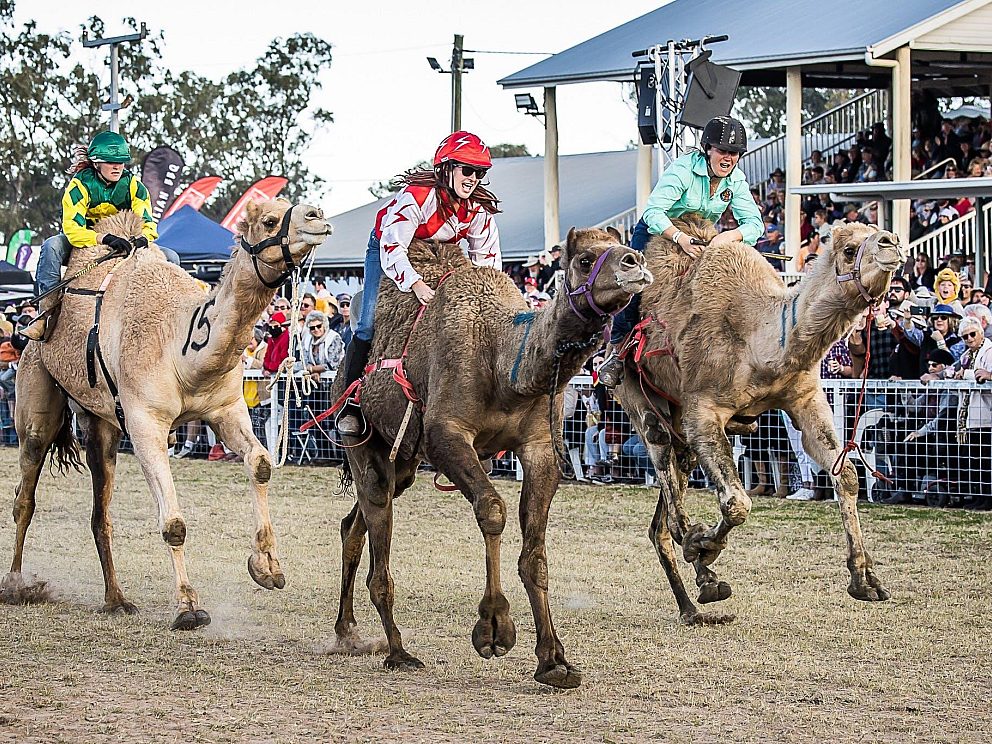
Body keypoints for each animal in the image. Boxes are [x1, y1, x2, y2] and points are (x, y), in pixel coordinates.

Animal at [2, 199, 334, 628]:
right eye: (269, 220)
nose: (317, 216)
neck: (180, 345)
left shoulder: (225, 408)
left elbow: (260, 462)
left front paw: (267, 568)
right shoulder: (145, 424)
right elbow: (174, 524)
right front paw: (188, 607)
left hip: (102, 426)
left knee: (100, 513)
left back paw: (116, 599)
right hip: (35, 399)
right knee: (25, 496)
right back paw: (16, 586)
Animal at [334, 225, 656, 684]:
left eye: (620, 246)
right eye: (583, 259)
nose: (635, 262)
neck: (505, 366)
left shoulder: (540, 447)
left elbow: (535, 553)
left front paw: (553, 661)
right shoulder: (446, 436)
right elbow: (492, 510)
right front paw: (493, 629)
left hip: (404, 462)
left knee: (355, 523)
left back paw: (348, 633)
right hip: (365, 443)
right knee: (376, 525)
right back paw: (397, 651)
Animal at [612, 215, 908, 628]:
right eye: (850, 249)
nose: (891, 241)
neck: (760, 340)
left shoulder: (804, 398)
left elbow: (846, 474)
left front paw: (865, 581)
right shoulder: (702, 410)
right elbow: (737, 502)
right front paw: (705, 547)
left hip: (680, 433)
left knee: (662, 523)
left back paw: (695, 604)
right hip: (639, 401)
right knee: (670, 503)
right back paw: (702, 570)